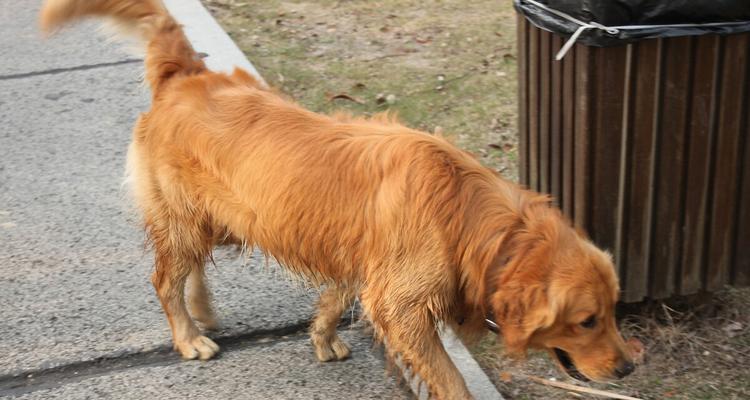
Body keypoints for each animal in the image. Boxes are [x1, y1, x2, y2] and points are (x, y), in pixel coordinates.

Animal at [41, 0, 636, 396]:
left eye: (612, 311)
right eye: (587, 321)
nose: (628, 367)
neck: (472, 217)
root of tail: (186, 73)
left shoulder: (363, 263)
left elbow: (333, 298)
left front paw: (322, 338)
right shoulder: (403, 306)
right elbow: (448, 378)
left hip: (218, 218)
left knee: (192, 269)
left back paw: (204, 314)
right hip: (185, 218)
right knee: (165, 278)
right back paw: (189, 337)